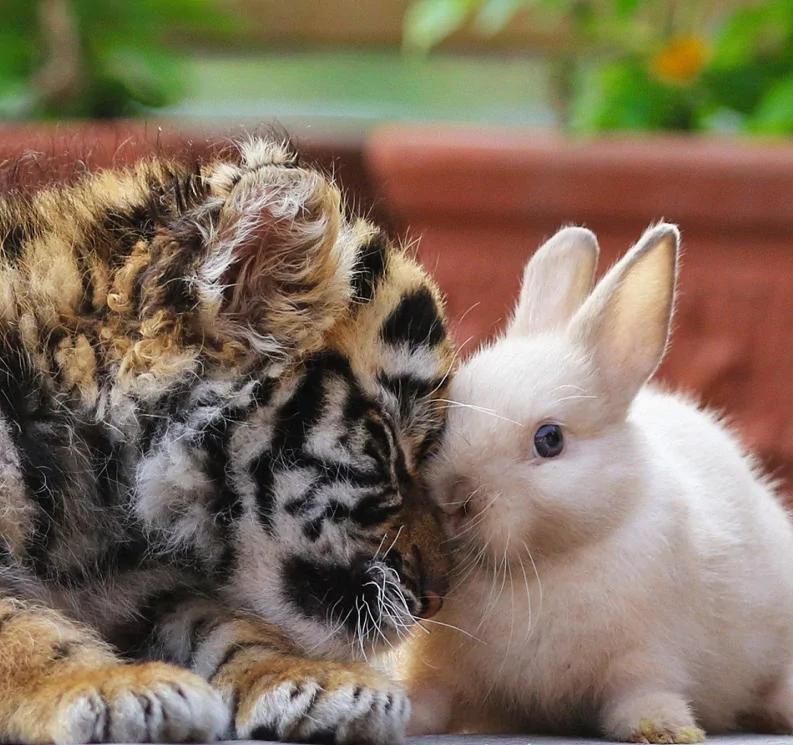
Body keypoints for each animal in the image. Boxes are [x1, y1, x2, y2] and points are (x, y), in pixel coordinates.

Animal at [0, 135, 454, 745]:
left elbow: (227, 625)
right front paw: (113, 691)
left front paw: (319, 682)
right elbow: (18, 628)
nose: (438, 595)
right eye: (384, 438)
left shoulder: (157, 587)